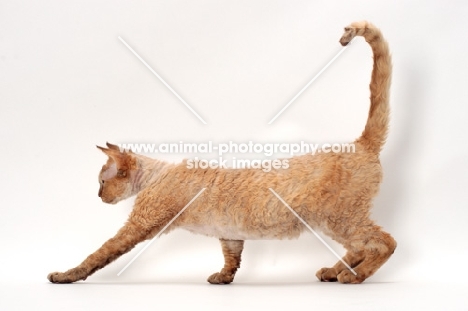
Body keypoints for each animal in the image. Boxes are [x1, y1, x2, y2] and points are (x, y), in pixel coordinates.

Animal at [47, 21, 396, 286]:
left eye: (101, 182)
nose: (98, 196)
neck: (156, 174)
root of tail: (359, 142)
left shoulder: (136, 226)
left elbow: (98, 254)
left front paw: (65, 275)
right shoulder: (230, 235)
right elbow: (232, 257)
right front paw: (223, 278)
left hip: (337, 219)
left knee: (383, 243)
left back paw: (354, 276)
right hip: (333, 223)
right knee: (359, 247)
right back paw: (334, 271)